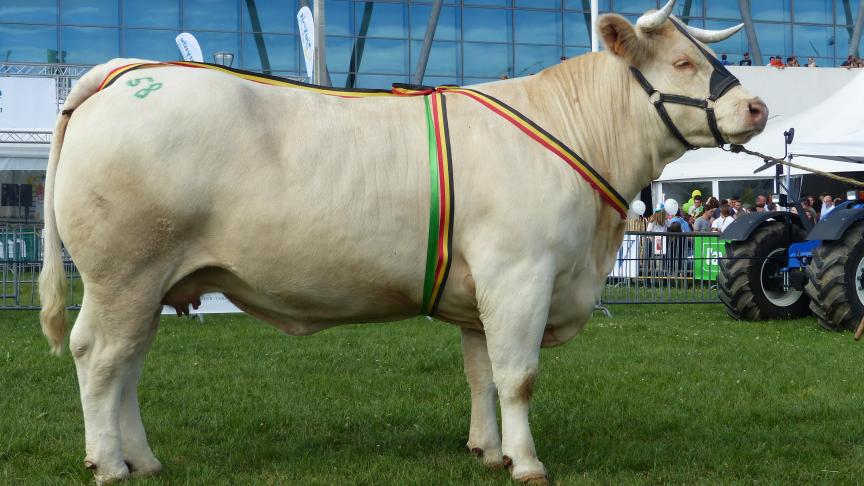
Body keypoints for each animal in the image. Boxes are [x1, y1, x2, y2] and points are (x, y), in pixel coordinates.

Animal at [38, 1, 767, 483]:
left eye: (713, 57)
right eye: (683, 61)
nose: (758, 106)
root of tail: (123, 71)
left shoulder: (481, 291)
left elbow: (480, 373)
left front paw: (488, 449)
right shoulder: (520, 274)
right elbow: (518, 376)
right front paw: (527, 462)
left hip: (149, 282)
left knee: (129, 364)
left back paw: (142, 458)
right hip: (123, 273)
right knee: (99, 358)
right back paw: (109, 463)